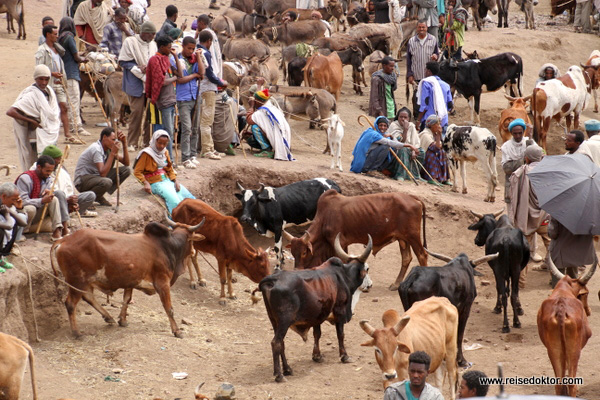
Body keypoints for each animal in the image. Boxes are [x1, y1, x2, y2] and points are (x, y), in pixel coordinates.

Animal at [49, 219, 204, 338]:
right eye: (192, 238)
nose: (193, 251)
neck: (168, 246)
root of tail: (64, 239)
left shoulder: (130, 282)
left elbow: (126, 300)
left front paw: (122, 320)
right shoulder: (162, 282)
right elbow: (169, 308)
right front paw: (177, 331)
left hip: (84, 282)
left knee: (88, 297)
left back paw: (109, 318)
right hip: (77, 281)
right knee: (70, 304)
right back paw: (77, 333)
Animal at [262, 236, 372, 382]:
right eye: (367, 268)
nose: (370, 285)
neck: (344, 276)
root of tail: (272, 280)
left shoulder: (318, 315)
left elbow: (317, 334)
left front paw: (317, 356)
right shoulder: (340, 311)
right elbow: (340, 334)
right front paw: (345, 356)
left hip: (274, 321)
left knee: (281, 343)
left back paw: (287, 369)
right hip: (284, 322)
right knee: (276, 343)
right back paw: (279, 375)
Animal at [284, 191, 426, 290]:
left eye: (304, 252)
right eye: (293, 253)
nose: (296, 270)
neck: (325, 218)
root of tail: (413, 198)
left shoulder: (338, 242)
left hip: (413, 236)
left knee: (422, 255)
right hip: (403, 239)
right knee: (406, 258)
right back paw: (396, 284)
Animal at [536, 252, 596, 396]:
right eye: (586, 293)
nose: (588, 311)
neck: (564, 290)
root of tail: (561, 309)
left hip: (553, 350)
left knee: (559, 385)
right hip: (574, 350)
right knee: (571, 384)